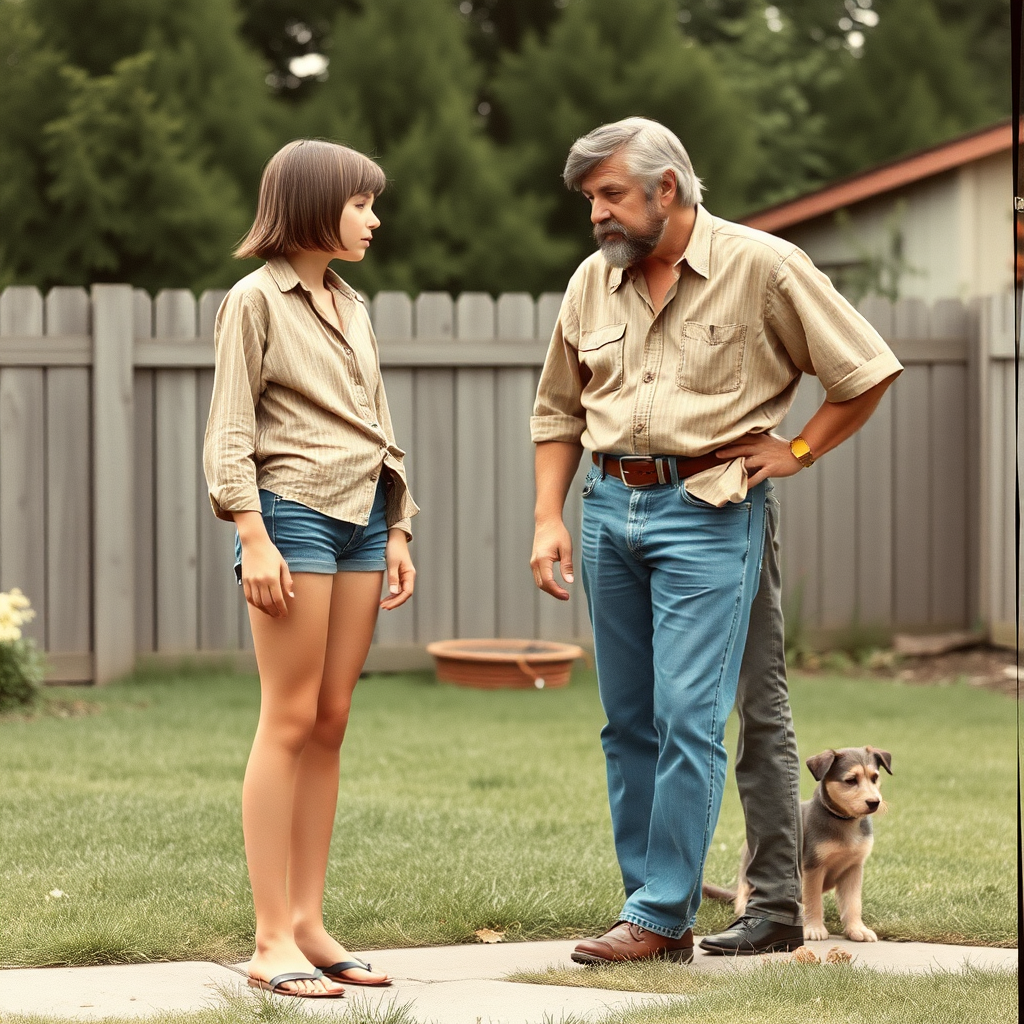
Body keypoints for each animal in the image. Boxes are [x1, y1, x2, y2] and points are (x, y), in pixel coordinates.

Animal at [708, 745, 892, 942]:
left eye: (875, 778)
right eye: (850, 780)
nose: (874, 802)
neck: (845, 822)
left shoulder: (853, 868)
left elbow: (853, 903)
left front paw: (857, 929)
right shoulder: (813, 868)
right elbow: (813, 901)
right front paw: (814, 928)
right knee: (746, 893)